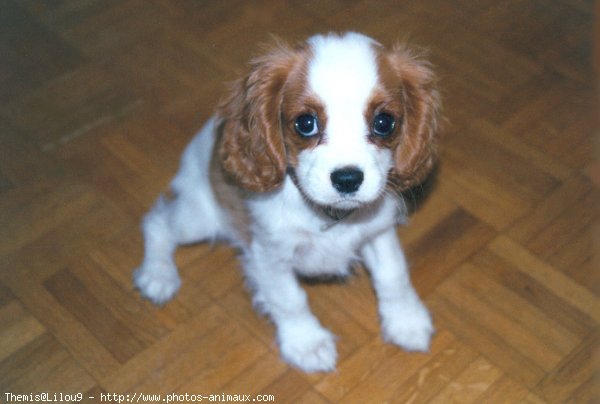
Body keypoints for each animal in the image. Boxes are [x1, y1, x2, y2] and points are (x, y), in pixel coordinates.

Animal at [134, 31, 440, 372]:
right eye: (305, 123)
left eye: (384, 122)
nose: (347, 179)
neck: (328, 215)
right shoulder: (268, 255)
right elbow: (290, 300)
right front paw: (306, 343)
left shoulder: (378, 232)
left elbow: (393, 275)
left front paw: (406, 321)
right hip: (198, 216)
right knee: (157, 222)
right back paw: (158, 274)